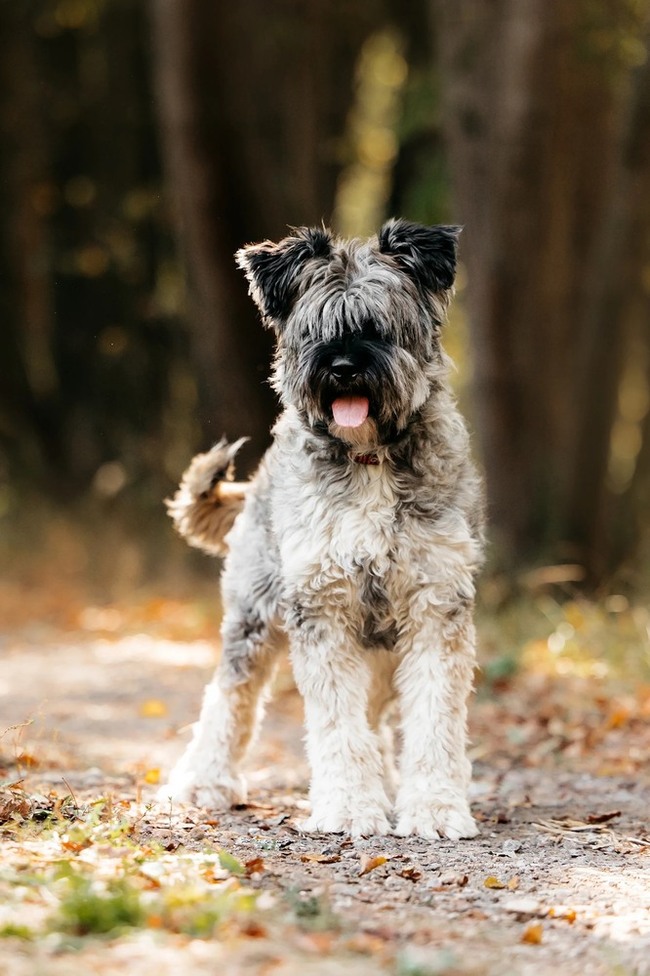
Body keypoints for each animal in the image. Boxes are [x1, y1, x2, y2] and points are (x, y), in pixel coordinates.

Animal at [160, 221, 484, 840]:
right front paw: (352, 806)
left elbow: (434, 717)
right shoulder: (322, 605)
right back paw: (204, 782)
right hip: (253, 617)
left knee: (377, 717)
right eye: (316, 327)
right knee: (228, 699)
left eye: (379, 324)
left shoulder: (434, 605)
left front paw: (432, 807)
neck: (370, 460)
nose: (343, 367)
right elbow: (337, 722)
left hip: (379, 645)